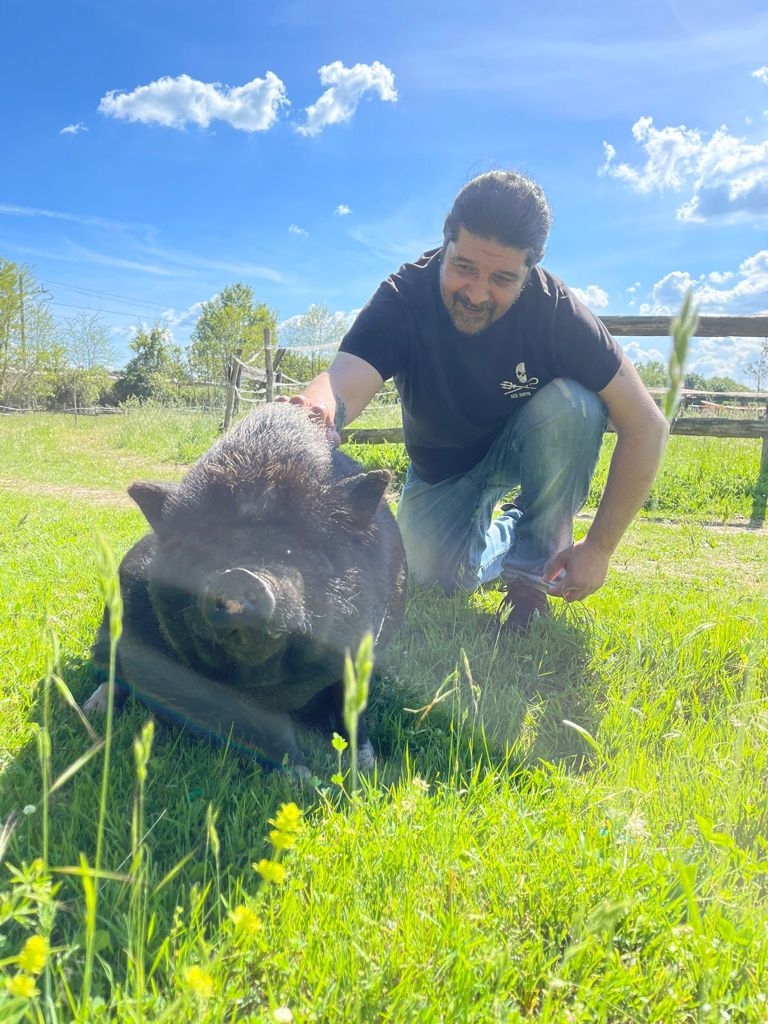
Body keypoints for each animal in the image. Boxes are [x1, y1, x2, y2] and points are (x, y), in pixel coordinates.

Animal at [83, 403, 409, 770]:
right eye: (207, 550)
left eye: (295, 550)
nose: (239, 575)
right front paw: (299, 775)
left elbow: (352, 708)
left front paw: (367, 766)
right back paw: (93, 711)